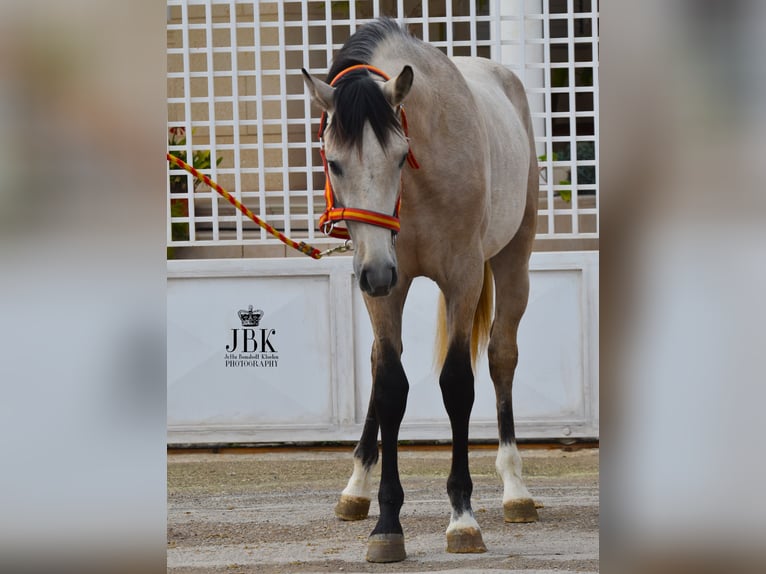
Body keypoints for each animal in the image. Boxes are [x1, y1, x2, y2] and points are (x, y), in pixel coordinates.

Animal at [301, 17, 539, 563]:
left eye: (399, 155)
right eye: (333, 161)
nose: (376, 273)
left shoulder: (462, 277)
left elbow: (457, 385)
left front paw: (463, 518)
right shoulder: (386, 282)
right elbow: (390, 383)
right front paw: (387, 523)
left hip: (513, 261)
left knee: (502, 357)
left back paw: (516, 490)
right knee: (376, 363)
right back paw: (356, 488)